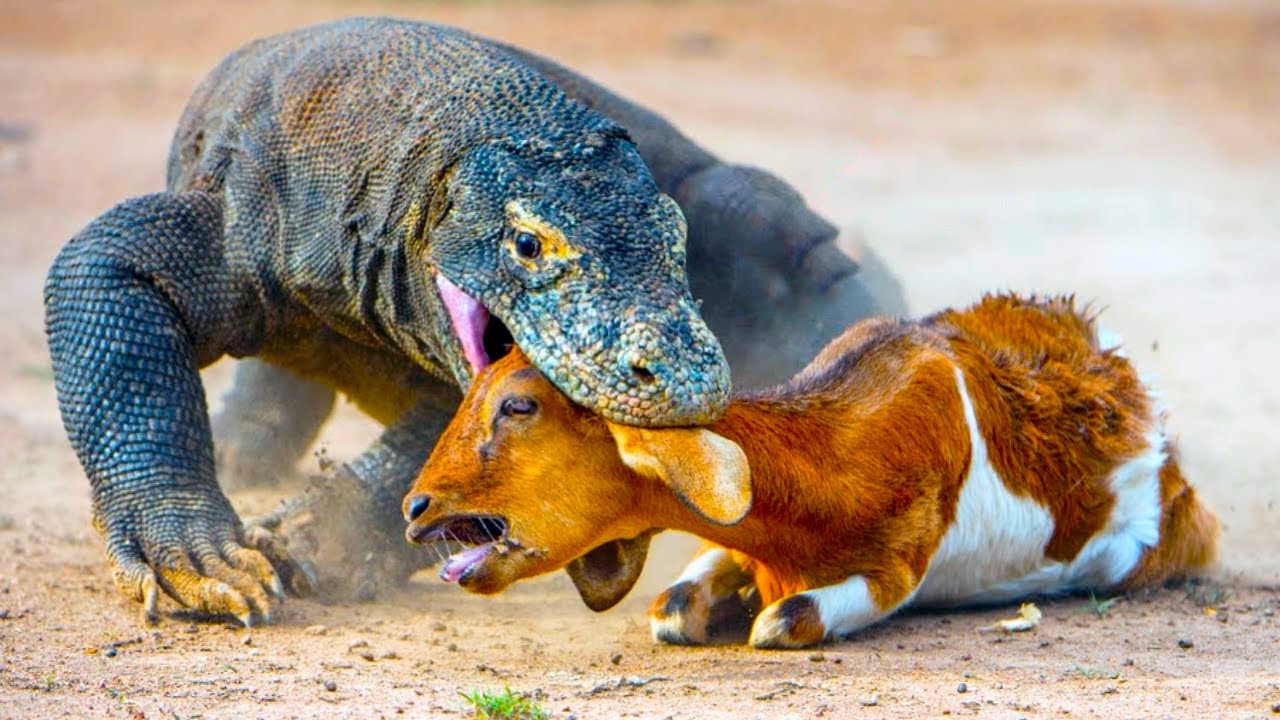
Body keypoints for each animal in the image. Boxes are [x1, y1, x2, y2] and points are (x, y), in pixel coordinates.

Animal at [404, 292, 1213, 645]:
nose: (416, 508)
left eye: (518, 406)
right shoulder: (738, 542)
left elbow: (785, 620)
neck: (835, 451)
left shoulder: (894, 570)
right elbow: (674, 606)